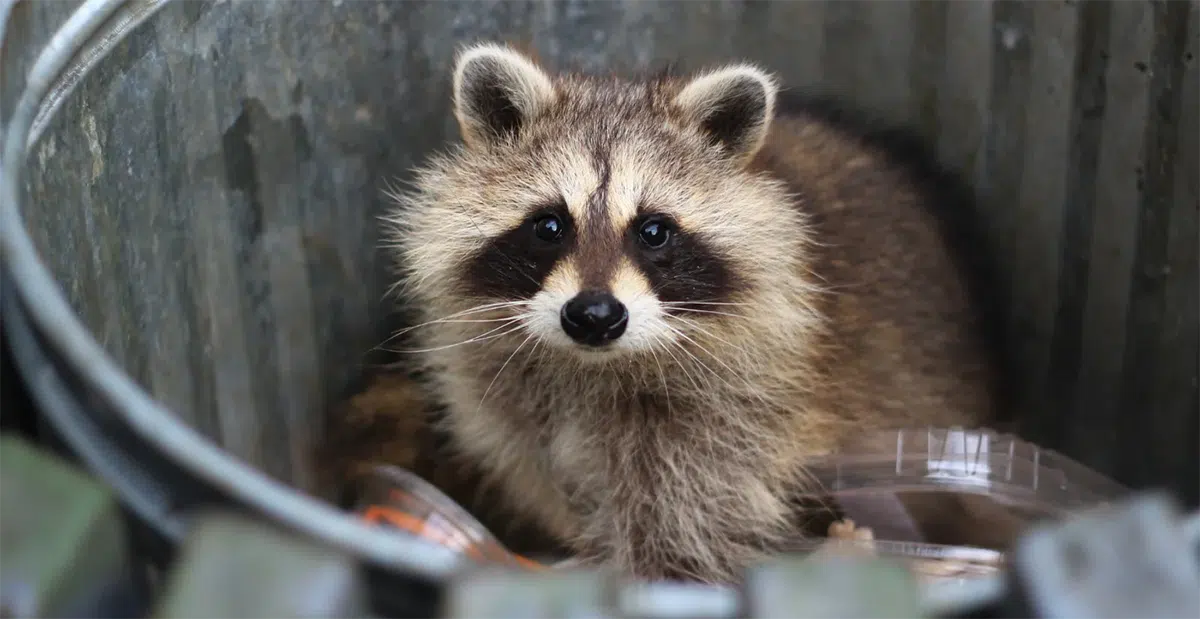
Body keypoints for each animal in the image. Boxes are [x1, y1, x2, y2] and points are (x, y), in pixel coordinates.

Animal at [384, 42, 1003, 580]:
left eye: (654, 231)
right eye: (549, 226)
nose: (594, 316)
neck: (593, 367)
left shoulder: (735, 417)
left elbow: (684, 525)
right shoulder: (507, 400)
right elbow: (541, 470)